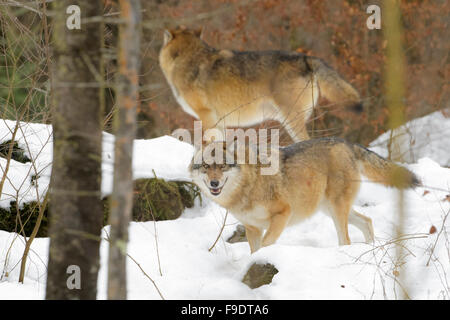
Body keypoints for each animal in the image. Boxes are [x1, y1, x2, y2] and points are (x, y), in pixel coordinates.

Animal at [189, 138, 418, 252]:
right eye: (206, 167)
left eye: (222, 166)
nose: (214, 183)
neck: (248, 184)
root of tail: (346, 143)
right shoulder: (252, 228)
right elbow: (254, 251)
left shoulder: (283, 213)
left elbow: (266, 245)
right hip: (329, 209)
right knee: (367, 221)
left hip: (336, 211)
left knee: (346, 239)